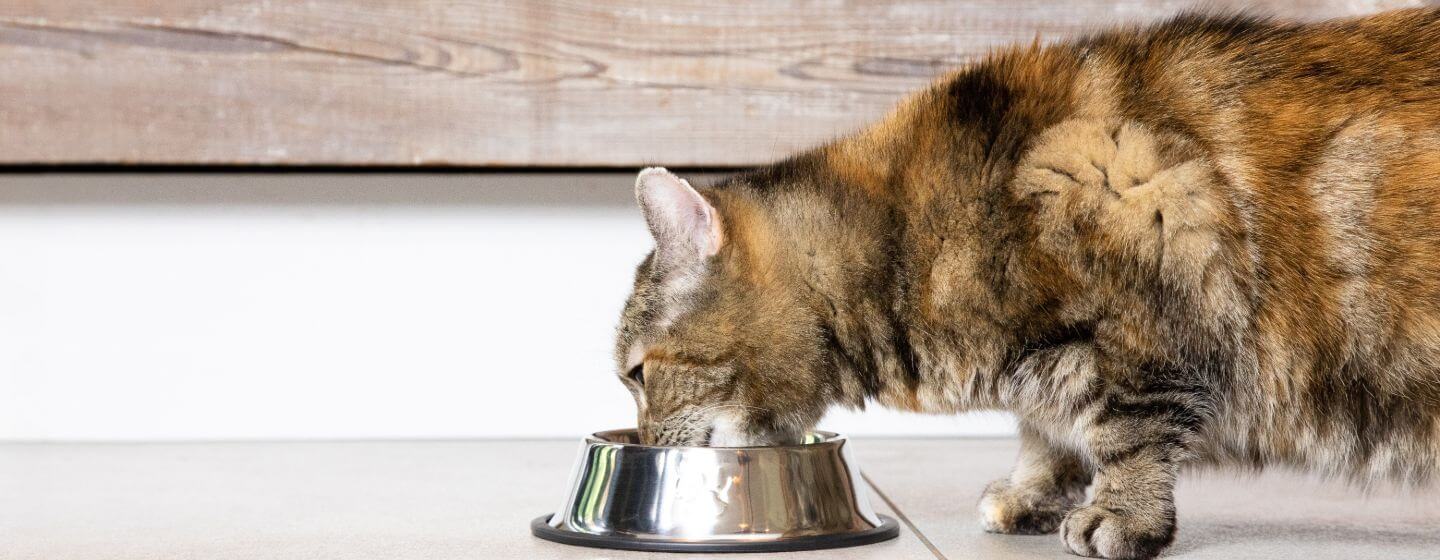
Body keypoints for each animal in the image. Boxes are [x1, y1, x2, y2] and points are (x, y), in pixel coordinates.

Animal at [610, 9, 1440, 558]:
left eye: (637, 374)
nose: (643, 442)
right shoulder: (1052, 366)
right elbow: (1045, 429)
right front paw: (1033, 492)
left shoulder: (1155, 286)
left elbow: (1130, 432)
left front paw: (1121, 515)